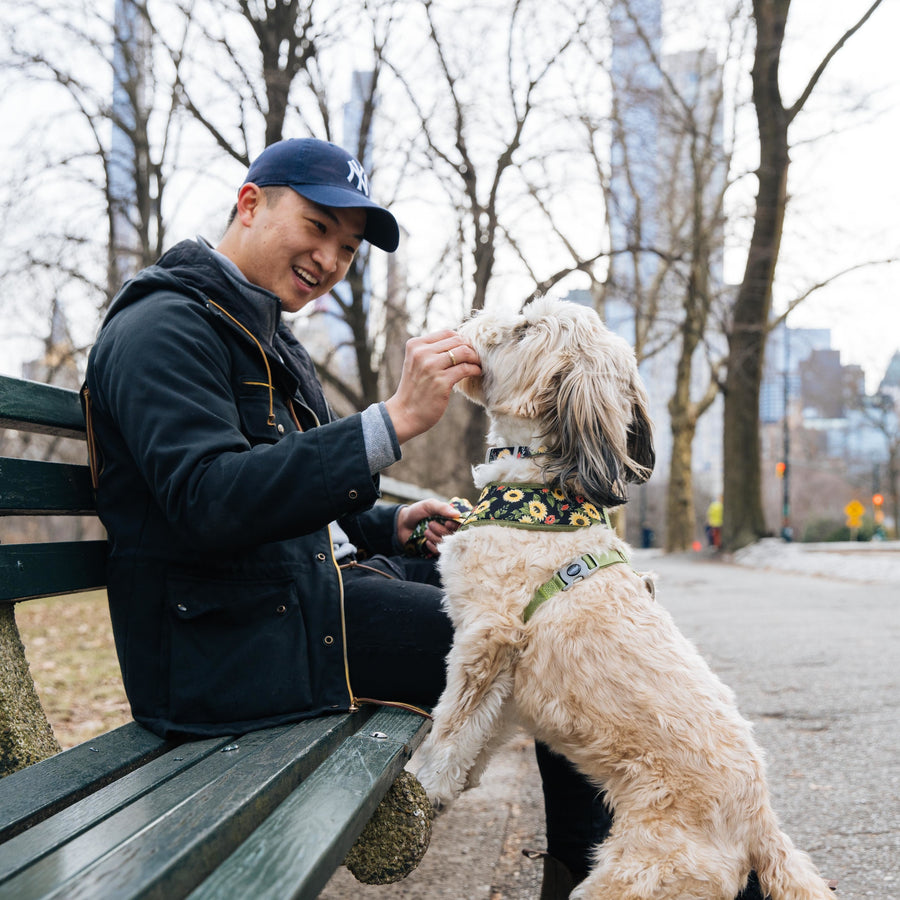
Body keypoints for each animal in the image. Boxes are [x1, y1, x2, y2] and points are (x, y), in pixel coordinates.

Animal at [418, 298, 832, 900]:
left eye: (524, 329)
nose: (469, 320)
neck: (539, 496)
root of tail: (760, 824)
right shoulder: (510, 680)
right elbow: (483, 731)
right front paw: (458, 782)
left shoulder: (485, 640)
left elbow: (453, 723)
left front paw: (421, 785)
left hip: (635, 875)